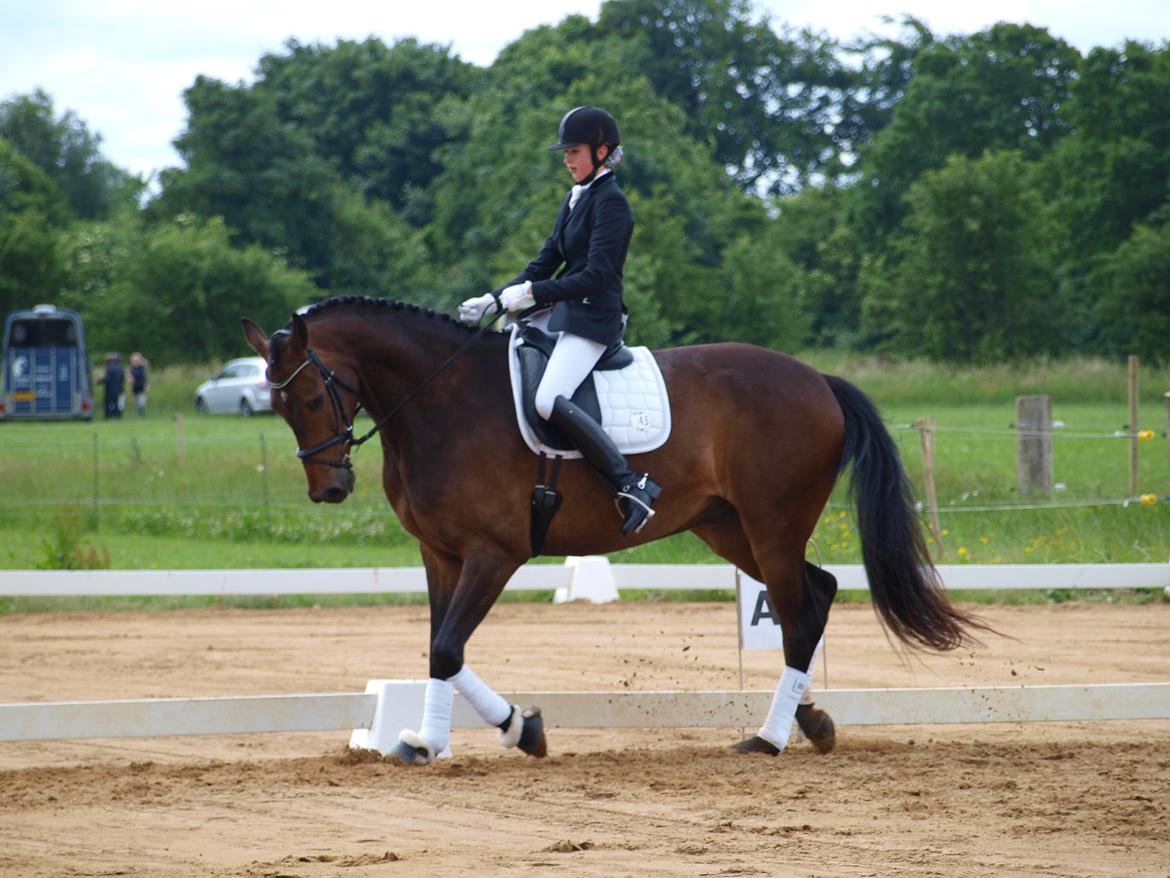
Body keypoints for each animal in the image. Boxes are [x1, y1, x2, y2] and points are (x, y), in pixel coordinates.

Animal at [242, 299, 982, 767]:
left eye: (309, 396)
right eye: (277, 404)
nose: (330, 489)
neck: (439, 401)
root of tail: (819, 381)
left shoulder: (494, 553)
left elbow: (448, 648)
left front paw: (522, 730)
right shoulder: (440, 553)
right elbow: (435, 652)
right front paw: (428, 741)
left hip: (772, 523)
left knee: (799, 614)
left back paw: (769, 739)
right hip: (727, 528)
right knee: (817, 593)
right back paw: (812, 723)